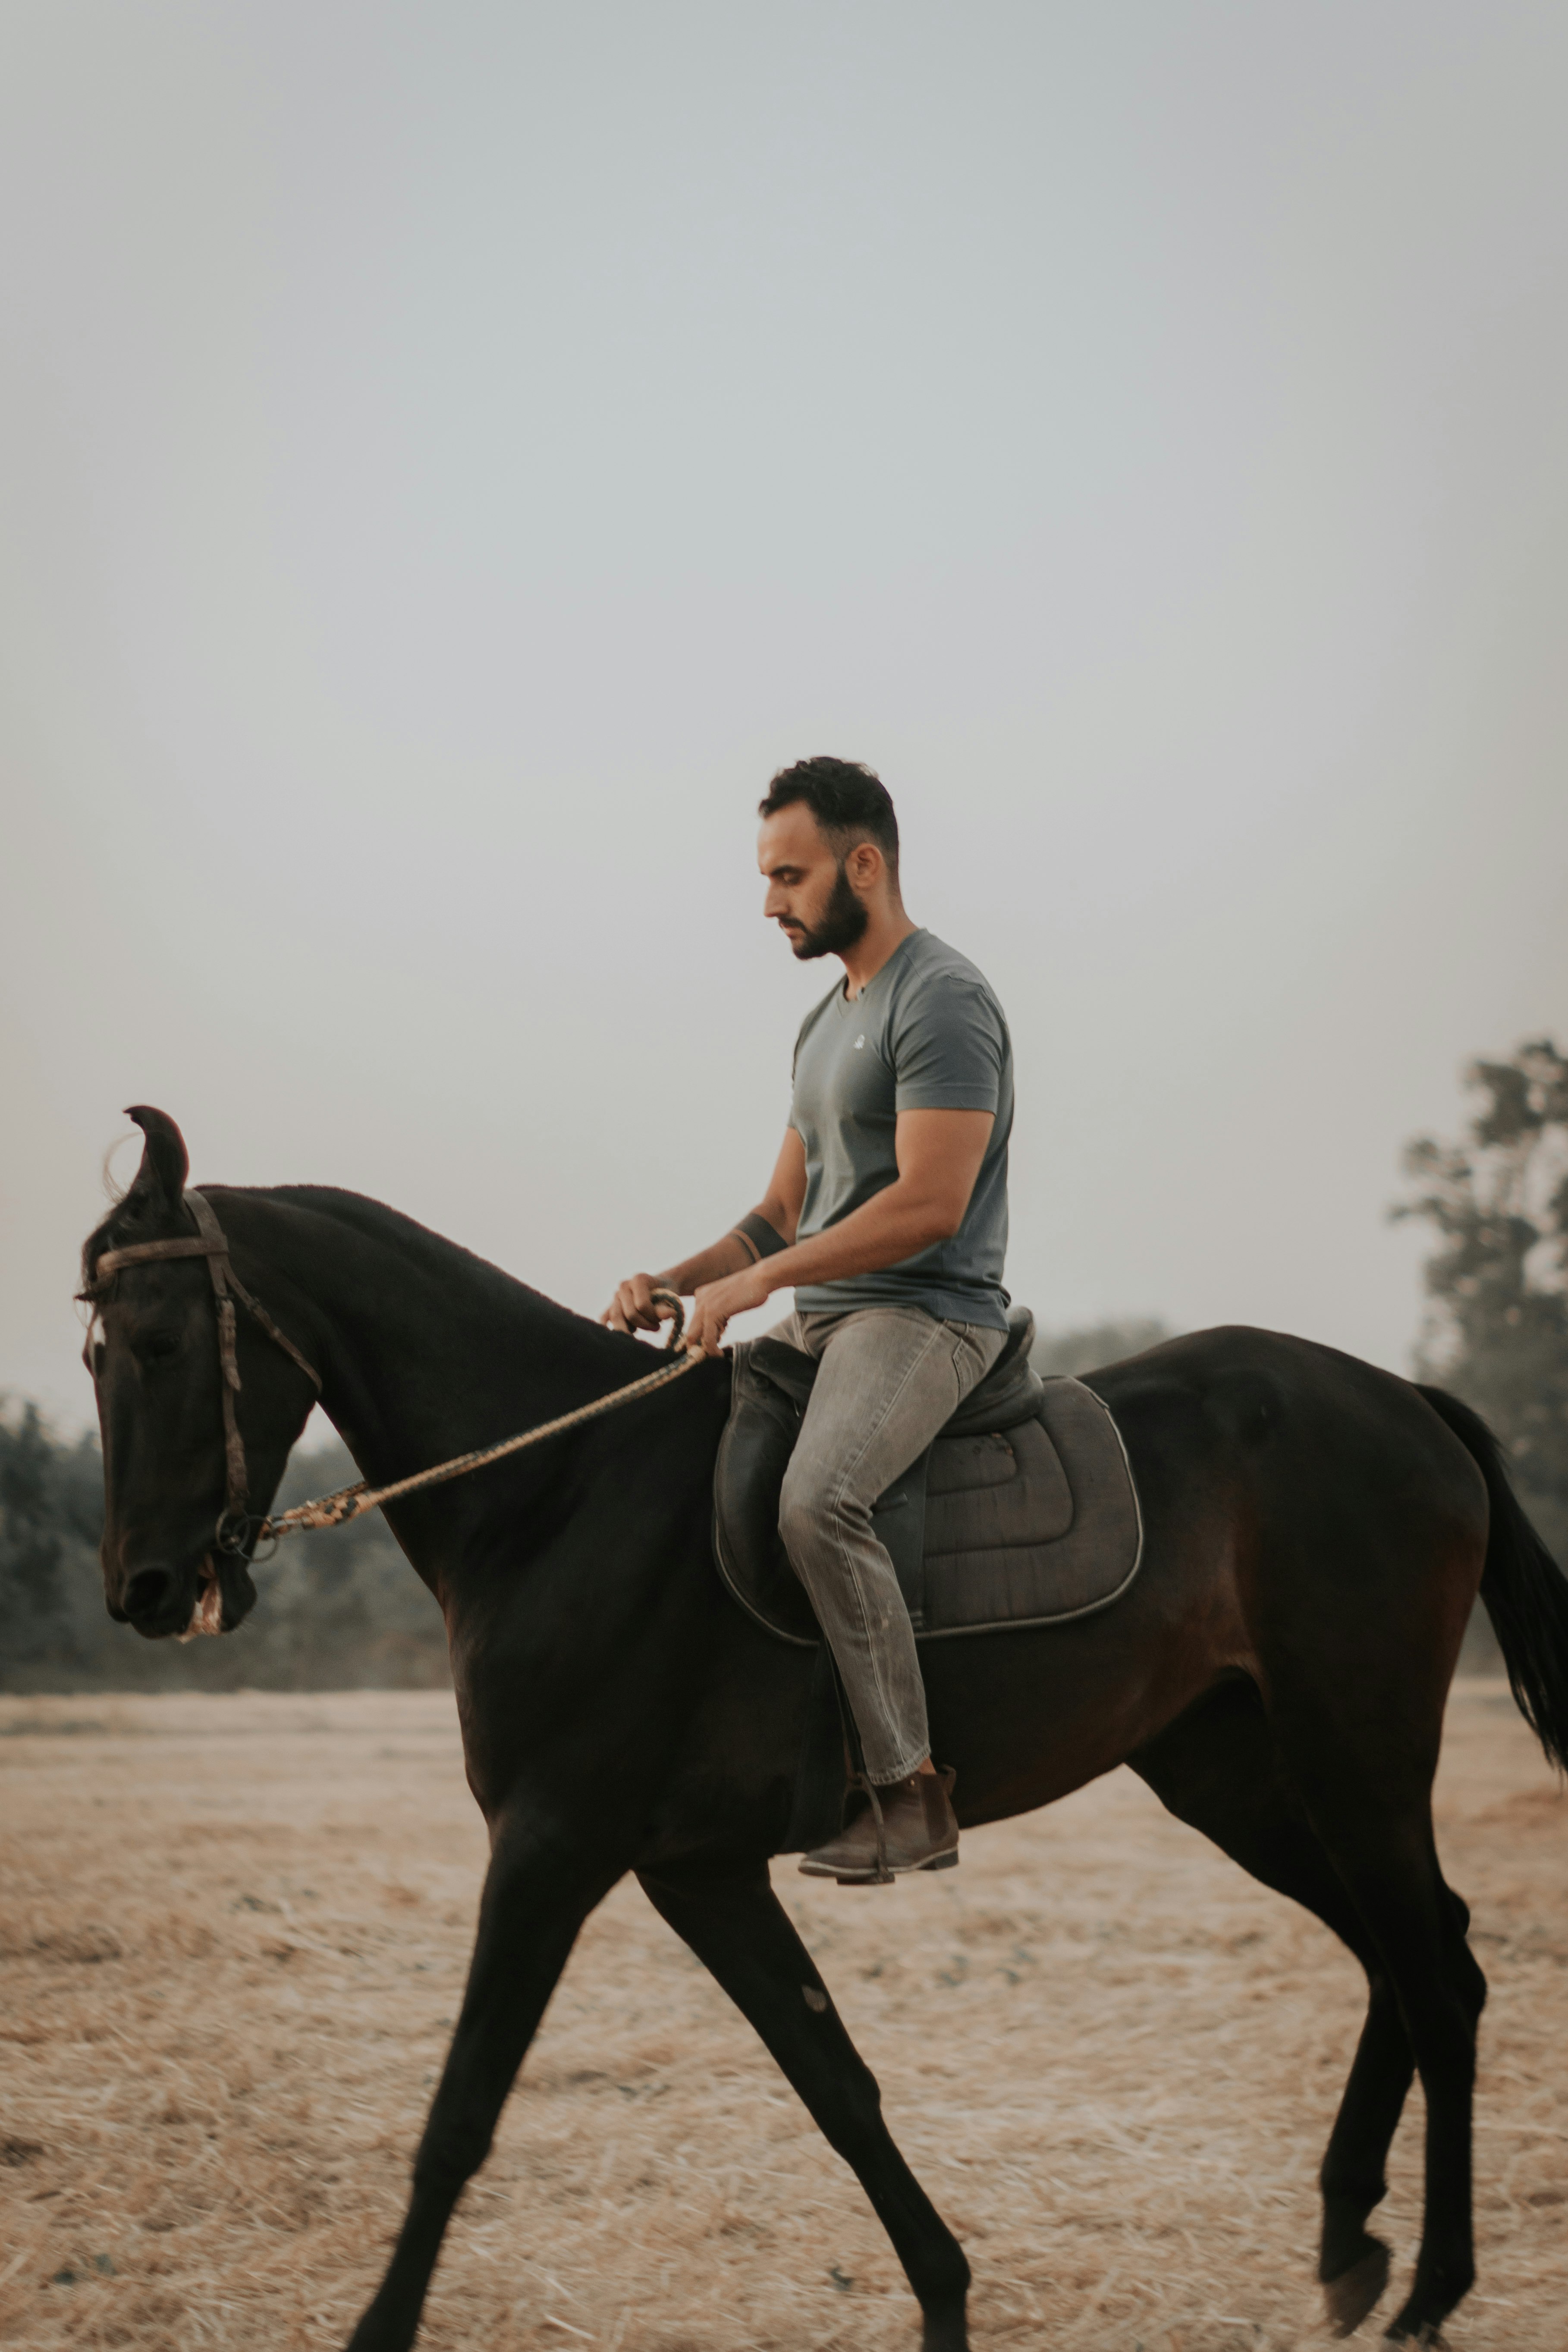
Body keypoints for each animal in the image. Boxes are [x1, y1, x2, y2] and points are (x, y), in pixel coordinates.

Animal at [83, 1110, 1568, 2343]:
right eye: (94, 1350)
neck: (559, 1487)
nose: (142, 1588)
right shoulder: (697, 1870)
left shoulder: (550, 1848)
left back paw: (1429, 2288)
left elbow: (458, 2115)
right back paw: (1348, 2237)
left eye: (161, 1343)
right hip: (1234, 1772)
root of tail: (1405, 1401)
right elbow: (835, 2083)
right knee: (1401, 1954)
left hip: (1351, 1752)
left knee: (1436, 1973)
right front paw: (947, 2300)